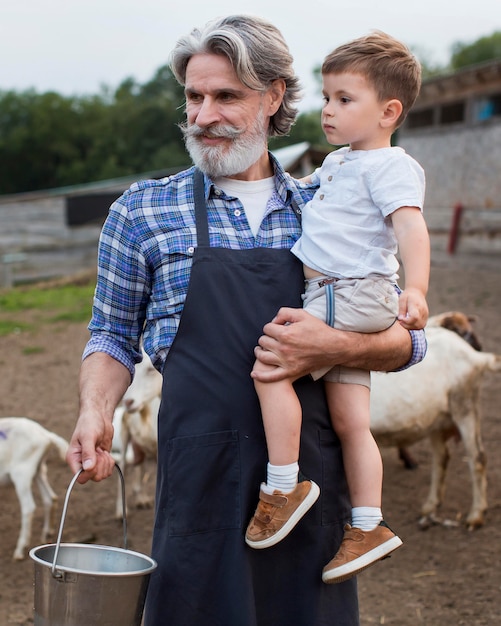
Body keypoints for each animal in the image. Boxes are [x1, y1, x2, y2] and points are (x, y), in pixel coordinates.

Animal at [0, 416, 68, 560]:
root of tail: (46, 436)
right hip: (39, 469)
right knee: (50, 498)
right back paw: (47, 534)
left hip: (22, 473)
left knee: (28, 507)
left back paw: (20, 549)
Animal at [113, 352, 160, 516]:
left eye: (151, 369)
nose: (128, 402)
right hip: (125, 435)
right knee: (124, 467)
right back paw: (121, 511)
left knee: (140, 467)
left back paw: (141, 498)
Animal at [370, 312, 498, 528]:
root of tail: (475, 356)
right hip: (437, 418)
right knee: (442, 457)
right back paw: (431, 506)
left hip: (465, 405)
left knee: (477, 457)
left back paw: (476, 514)